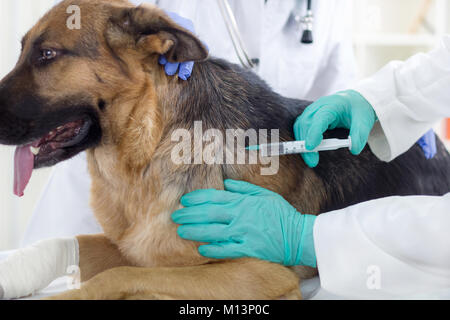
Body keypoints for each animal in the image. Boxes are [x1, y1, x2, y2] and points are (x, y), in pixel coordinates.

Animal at [0, 0, 450, 300]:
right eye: (23, 50)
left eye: (47, 54)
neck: (152, 146)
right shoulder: (134, 246)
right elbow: (69, 242)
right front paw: (14, 271)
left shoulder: (258, 272)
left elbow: (118, 277)